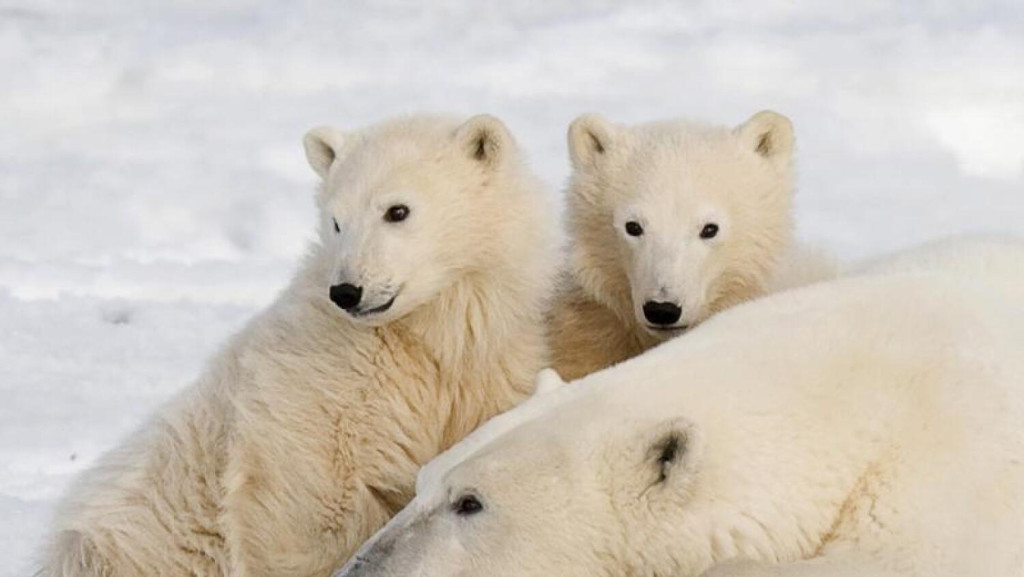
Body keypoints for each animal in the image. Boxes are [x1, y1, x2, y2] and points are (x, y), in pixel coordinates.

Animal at [41, 115, 561, 577]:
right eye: (336, 221)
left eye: (397, 210)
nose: (347, 291)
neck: (423, 337)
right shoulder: (327, 390)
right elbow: (316, 512)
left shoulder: (486, 373)